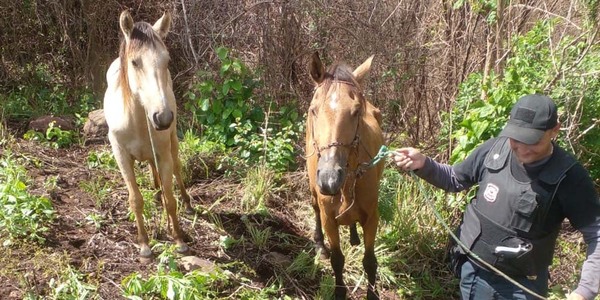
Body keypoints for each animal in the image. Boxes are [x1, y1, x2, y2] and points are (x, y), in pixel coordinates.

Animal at [103, 9, 192, 258]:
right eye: (135, 62)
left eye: (167, 60)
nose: (162, 118)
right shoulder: (121, 156)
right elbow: (135, 199)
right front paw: (144, 244)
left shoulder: (164, 154)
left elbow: (171, 200)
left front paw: (178, 239)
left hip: (172, 143)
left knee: (177, 170)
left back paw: (186, 201)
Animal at [304, 52, 384, 298]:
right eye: (314, 109)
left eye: (356, 111)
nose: (329, 179)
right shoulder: (329, 219)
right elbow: (338, 260)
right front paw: (339, 292)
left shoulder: (372, 218)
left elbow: (370, 262)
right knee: (314, 207)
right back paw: (320, 245)